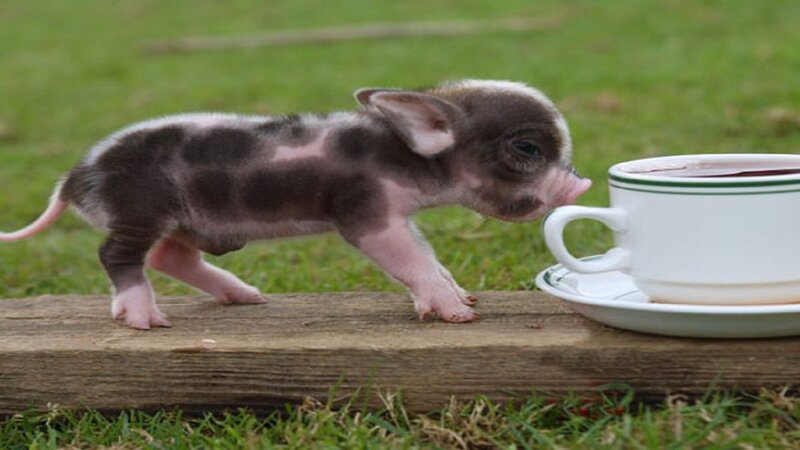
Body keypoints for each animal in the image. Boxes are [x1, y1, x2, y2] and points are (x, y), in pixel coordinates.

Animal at [0, 79, 591, 329]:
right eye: (526, 149)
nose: (582, 187)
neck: (399, 154)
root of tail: (76, 176)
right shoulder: (364, 212)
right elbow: (410, 259)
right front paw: (456, 315)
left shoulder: (394, 214)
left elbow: (427, 256)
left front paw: (463, 297)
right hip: (137, 211)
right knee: (116, 256)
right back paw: (147, 321)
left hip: (185, 220)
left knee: (171, 255)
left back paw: (247, 298)